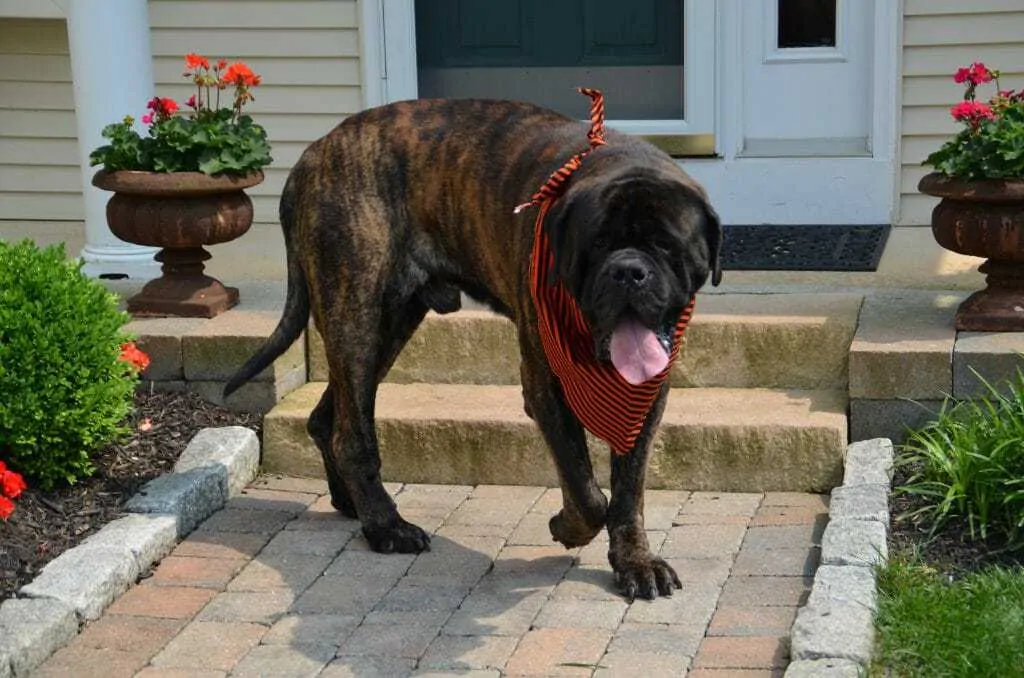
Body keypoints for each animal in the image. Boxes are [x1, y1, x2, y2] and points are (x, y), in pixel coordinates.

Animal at [226, 98, 720, 602]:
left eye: (666, 245)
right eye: (597, 243)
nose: (628, 272)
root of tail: (310, 157)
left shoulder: (648, 392)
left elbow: (627, 492)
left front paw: (634, 562)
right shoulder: (545, 385)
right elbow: (587, 492)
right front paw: (567, 527)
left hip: (390, 325)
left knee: (330, 416)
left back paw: (352, 503)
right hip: (357, 315)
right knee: (353, 433)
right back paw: (386, 526)